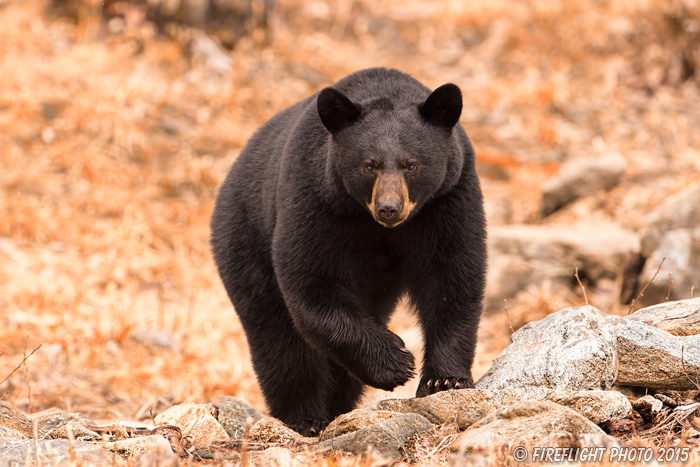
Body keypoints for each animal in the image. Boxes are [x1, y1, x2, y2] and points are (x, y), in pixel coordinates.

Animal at [211, 67, 490, 436]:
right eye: (369, 165)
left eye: (411, 164)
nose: (389, 208)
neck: (377, 225)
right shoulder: (316, 198)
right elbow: (310, 283)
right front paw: (395, 362)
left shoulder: (450, 197)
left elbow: (453, 274)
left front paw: (444, 381)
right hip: (244, 238)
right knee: (278, 338)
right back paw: (305, 417)